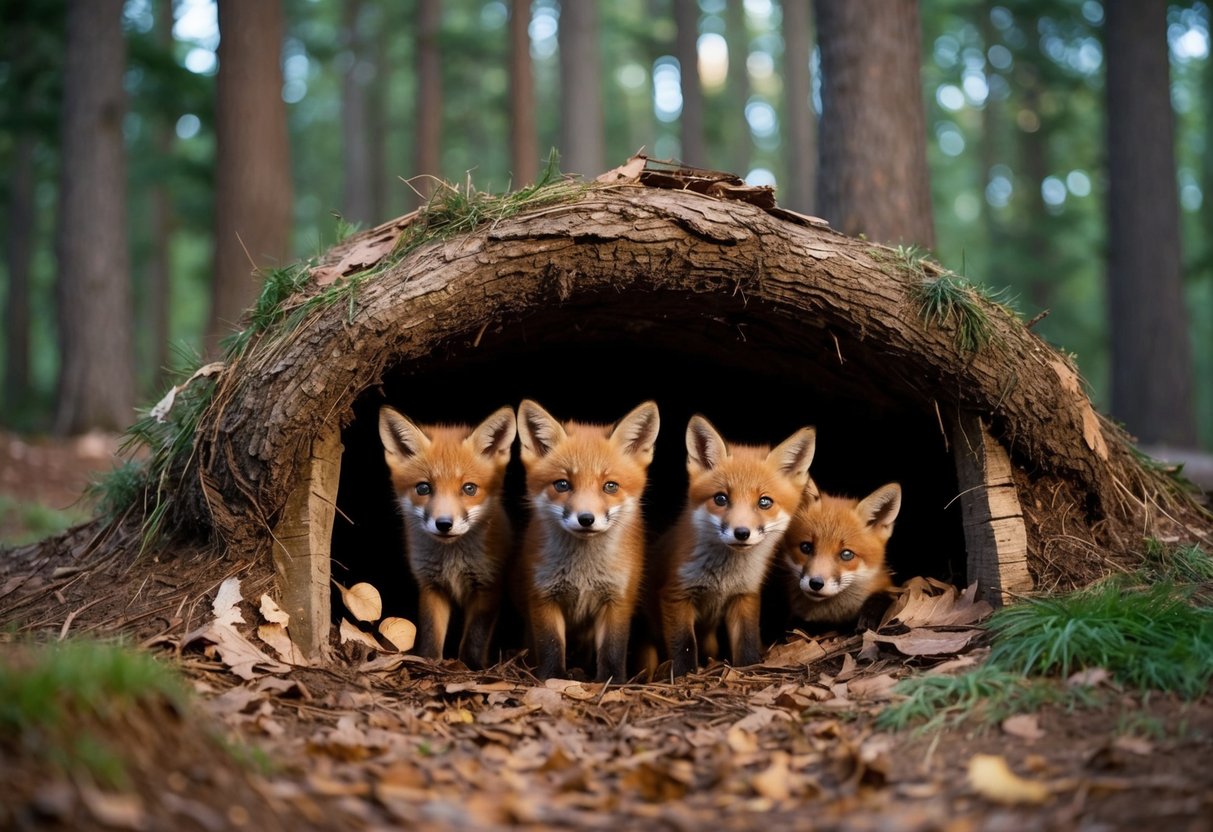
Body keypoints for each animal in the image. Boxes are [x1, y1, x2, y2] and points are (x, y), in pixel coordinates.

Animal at [378, 405, 517, 670]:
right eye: (423, 488)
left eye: (469, 488)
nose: (444, 524)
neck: (452, 560)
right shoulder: (431, 585)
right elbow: (431, 633)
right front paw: (428, 663)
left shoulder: (487, 585)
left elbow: (475, 637)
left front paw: (471, 667)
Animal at [516, 399, 660, 682]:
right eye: (562, 484)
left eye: (610, 486)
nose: (586, 519)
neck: (583, 573)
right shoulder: (542, 596)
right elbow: (550, 645)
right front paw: (553, 678)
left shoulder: (618, 599)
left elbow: (612, 649)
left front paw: (612, 681)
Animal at [650, 416, 817, 678]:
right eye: (721, 499)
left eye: (764, 502)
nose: (742, 533)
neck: (724, 578)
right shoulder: (676, 595)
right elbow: (683, 646)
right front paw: (684, 675)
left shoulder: (744, 595)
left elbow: (747, 642)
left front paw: (748, 668)